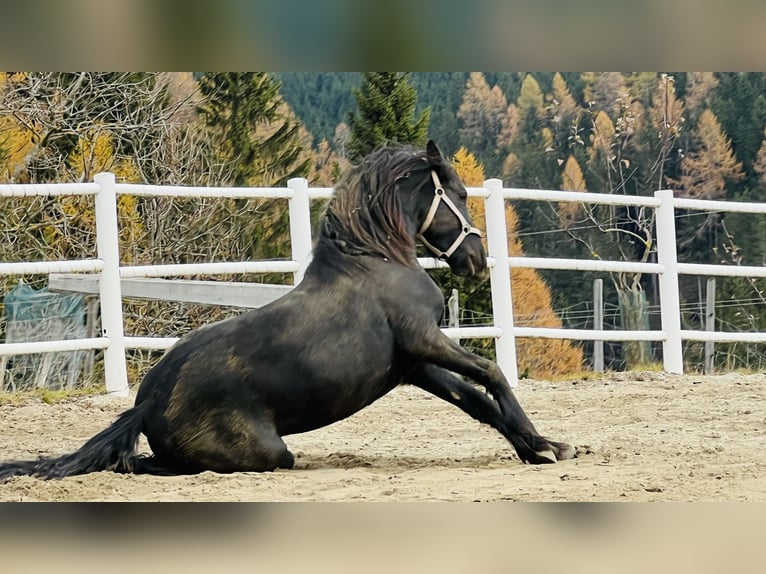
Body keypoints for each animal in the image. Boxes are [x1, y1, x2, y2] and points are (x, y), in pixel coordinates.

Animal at [0, 143, 576, 482]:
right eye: (456, 192)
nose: (477, 261)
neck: (376, 259)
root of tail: (147, 404)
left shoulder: (414, 364)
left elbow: (475, 401)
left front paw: (540, 446)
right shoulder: (424, 341)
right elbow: (493, 374)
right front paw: (547, 448)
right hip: (268, 453)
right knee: (148, 466)